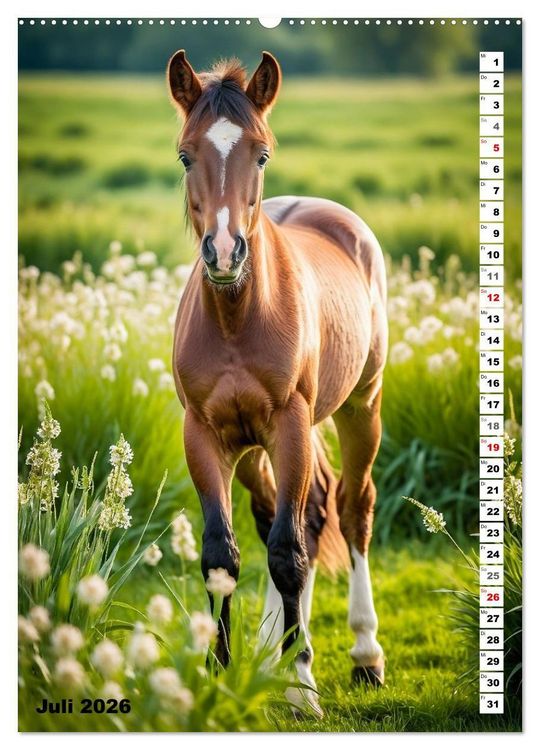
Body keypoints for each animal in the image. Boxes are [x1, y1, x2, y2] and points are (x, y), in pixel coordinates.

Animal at [167, 50, 388, 716]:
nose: (224, 252)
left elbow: (289, 556)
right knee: (291, 516)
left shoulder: (290, 426)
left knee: (350, 508)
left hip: (359, 407)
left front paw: (302, 691)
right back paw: (275, 655)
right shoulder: (206, 435)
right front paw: (220, 676)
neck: (240, 319)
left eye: (260, 153)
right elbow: (225, 555)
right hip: (258, 447)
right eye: (186, 155)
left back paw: (363, 655)